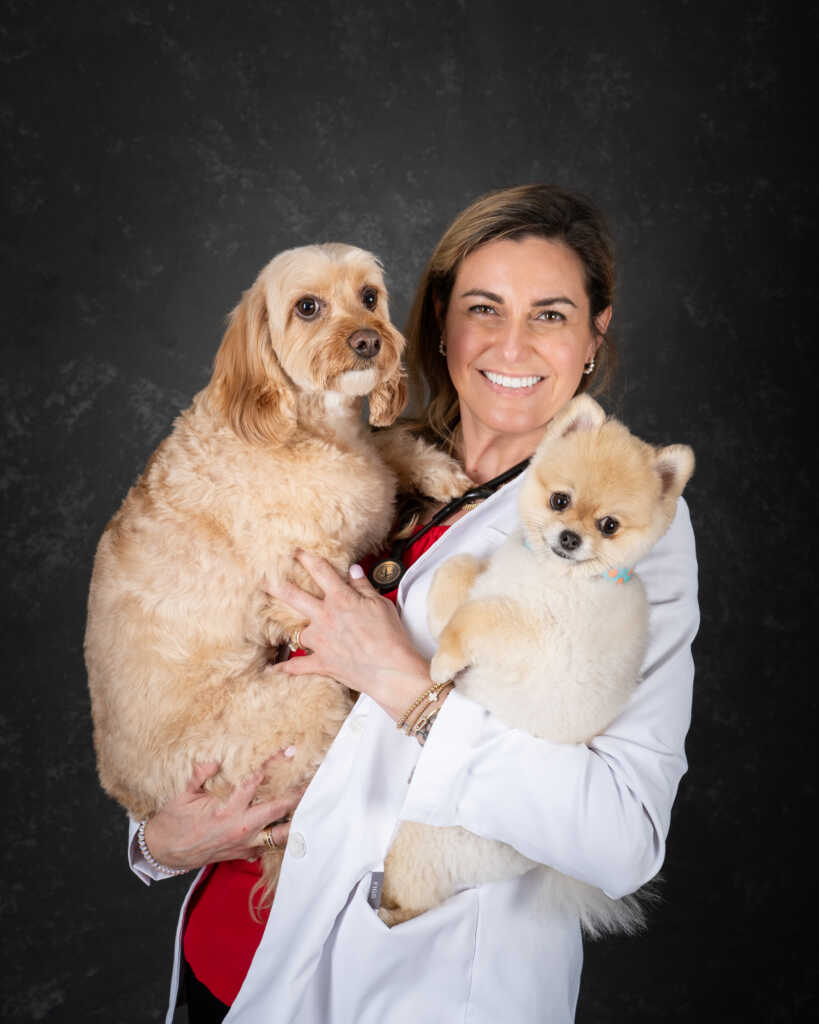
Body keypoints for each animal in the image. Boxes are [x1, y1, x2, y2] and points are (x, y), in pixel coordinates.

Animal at [84, 241, 466, 905]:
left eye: (369, 296)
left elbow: (389, 448)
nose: (368, 340)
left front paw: (438, 472)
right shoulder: (305, 592)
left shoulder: (367, 461)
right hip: (288, 711)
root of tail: (135, 794)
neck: (306, 426)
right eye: (307, 307)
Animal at [380, 393, 696, 937]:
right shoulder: (488, 582)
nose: (570, 537)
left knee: (414, 890)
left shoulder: (536, 635)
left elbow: (476, 620)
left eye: (609, 526)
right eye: (560, 501)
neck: (551, 573)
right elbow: (458, 575)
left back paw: (389, 913)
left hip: (424, 846)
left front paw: (441, 665)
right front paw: (444, 622)